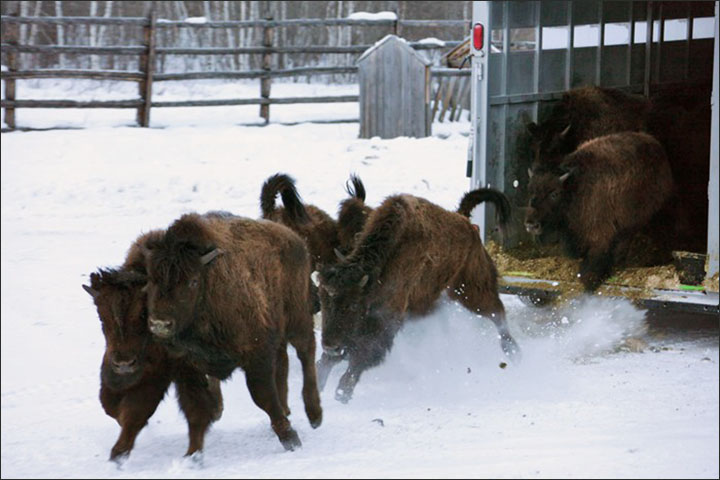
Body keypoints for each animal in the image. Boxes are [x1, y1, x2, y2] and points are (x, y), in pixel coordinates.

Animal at [82, 231, 222, 464]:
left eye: (141, 315)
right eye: (102, 318)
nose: (124, 364)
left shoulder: (173, 371)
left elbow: (139, 410)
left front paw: (118, 453)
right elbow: (111, 406)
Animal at [143, 212, 320, 452]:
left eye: (193, 281)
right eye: (152, 279)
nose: (160, 324)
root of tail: (296, 239)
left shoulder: (257, 354)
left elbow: (262, 395)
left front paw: (290, 439)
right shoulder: (188, 364)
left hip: (298, 319)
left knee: (306, 352)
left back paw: (314, 414)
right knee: (284, 362)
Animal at [314, 189, 516, 404]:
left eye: (353, 305)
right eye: (324, 303)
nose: (330, 346)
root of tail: (466, 223)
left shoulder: (386, 320)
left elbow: (362, 356)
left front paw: (342, 393)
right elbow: (332, 361)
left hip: (471, 291)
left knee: (497, 313)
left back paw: (514, 353)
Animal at [524, 130, 676, 292]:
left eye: (554, 193)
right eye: (530, 191)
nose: (531, 225)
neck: (575, 186)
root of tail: (654, 144)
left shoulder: (600, 234)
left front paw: (590, 280)